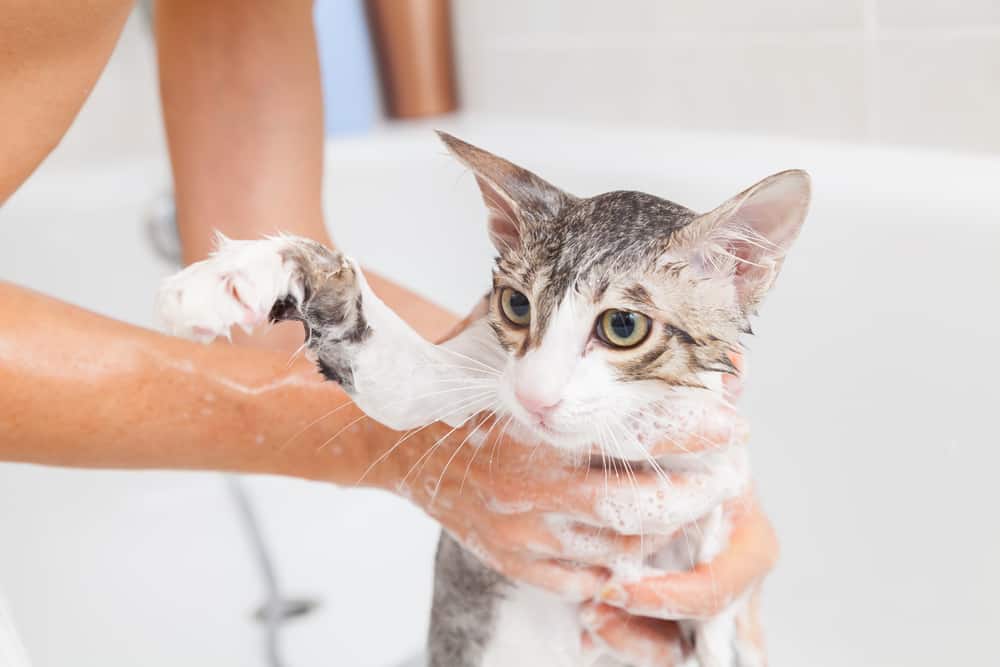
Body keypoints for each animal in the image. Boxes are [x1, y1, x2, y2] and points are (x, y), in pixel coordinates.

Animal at [158, 133, 812, 664]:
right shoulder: (445, 373)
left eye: (623, 326)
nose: (534, 396)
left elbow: (716, 615)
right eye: (517, 306)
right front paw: (239, 273)